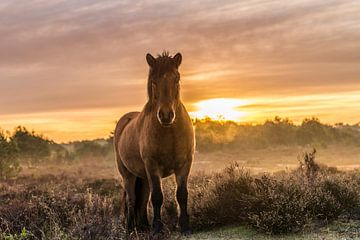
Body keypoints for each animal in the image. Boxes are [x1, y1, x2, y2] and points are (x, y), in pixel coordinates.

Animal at [114, 51, 195, 234]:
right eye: (153, 81)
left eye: (176, 79)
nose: (165, 115)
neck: (169, 131)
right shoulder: (152, 166)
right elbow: (157, 197)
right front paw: (158, 227)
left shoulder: (185, 164)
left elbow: (182, 194)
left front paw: (185, 226)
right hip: (128, 174)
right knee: (132, 199)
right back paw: (131, 229)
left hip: (143, 176)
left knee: (143, 200)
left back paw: (144, 226)